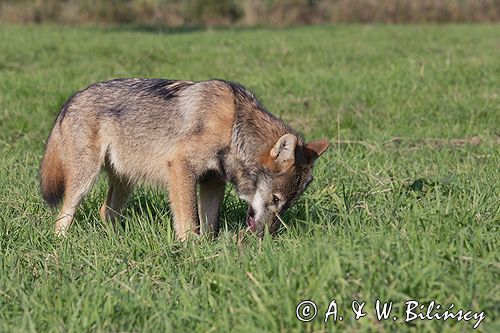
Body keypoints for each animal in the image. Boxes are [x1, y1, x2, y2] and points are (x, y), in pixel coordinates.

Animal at [39, 78, 328, 239]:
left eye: (287, 204)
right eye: (276, 200)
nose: (266, 237)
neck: (234, 128)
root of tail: (71, 99)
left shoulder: (213, 181)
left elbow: (209, 222)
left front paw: (208, 249)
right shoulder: (180, 168)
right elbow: (190, 220)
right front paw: (190, 250)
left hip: (125, 181)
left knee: (105, 211)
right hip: (85, 179)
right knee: (62, 216)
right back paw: (61, 243)